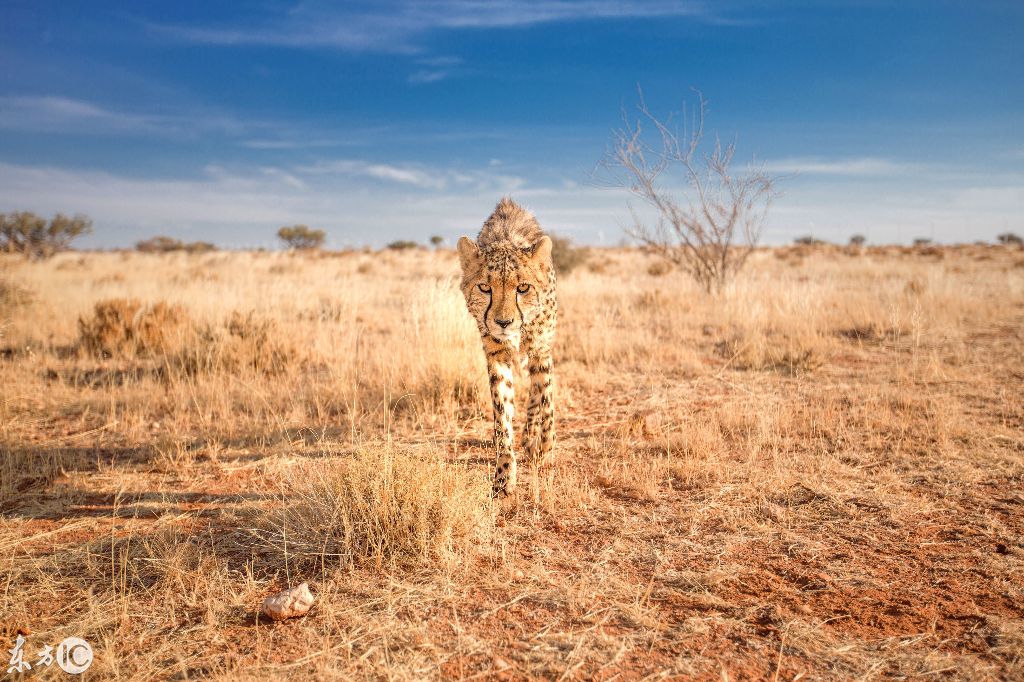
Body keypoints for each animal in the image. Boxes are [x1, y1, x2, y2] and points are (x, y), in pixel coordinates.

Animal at [458, 196, 557, 493]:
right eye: (484, 288)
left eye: (523, 288)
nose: (503, 322)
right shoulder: (496, 354)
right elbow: (502, 413)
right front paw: (504, 474)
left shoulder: (541, 349)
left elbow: (546, 400)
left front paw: (545, 450)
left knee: (537, 393)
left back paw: (533, 439)